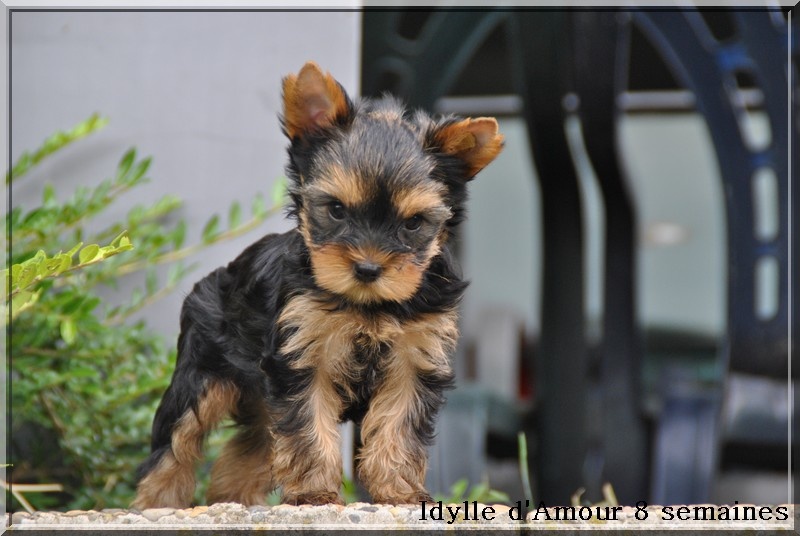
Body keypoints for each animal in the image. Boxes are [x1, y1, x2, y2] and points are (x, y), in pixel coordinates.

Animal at [134, 61, 504, 506]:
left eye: (413, 223)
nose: (368, 268)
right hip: (202, 371)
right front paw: (315, 493)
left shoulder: (415, 358)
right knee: (177, 440)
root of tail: (221, 273)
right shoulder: (304, 355)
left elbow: (398, 423)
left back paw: (231, 498)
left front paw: (399, 491)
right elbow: (309, 426)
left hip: (260, 396)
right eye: (337, 210)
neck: (369, 304)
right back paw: (157, 502)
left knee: (249, 450)